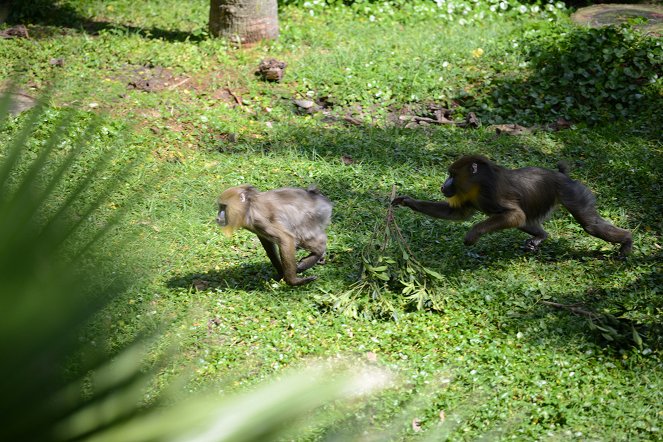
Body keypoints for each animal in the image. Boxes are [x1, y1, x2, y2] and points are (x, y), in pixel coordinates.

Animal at [392, 155, 636, 258]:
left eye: (451, 175)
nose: (444, 186)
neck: (479, 183)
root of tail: (562, 176)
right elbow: (456, 213)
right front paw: (407, 201)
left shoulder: (492, 193)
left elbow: (515, 215)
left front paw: (472, 234)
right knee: (525, 222)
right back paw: (540, 237)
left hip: (573, 193)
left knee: (591, 225)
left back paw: (627, 241)